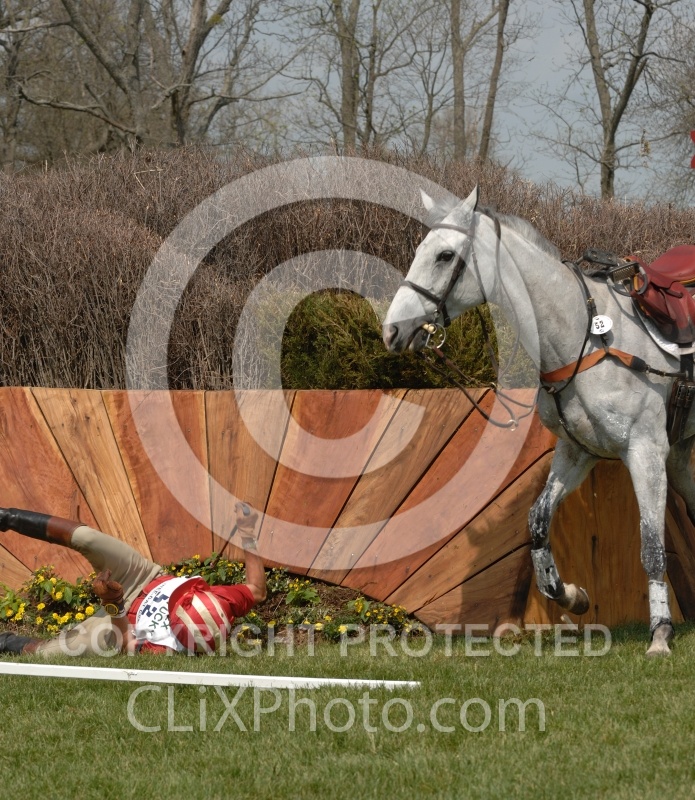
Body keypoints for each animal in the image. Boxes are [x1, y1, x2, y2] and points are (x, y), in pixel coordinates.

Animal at [382, 185, 695, 656]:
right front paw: (571, 595)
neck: (587, 338)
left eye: (445, 255)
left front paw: (660, 634)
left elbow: (652, 547)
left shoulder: (645, 452)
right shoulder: (578, 452)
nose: (392, 331)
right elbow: (538, 522)